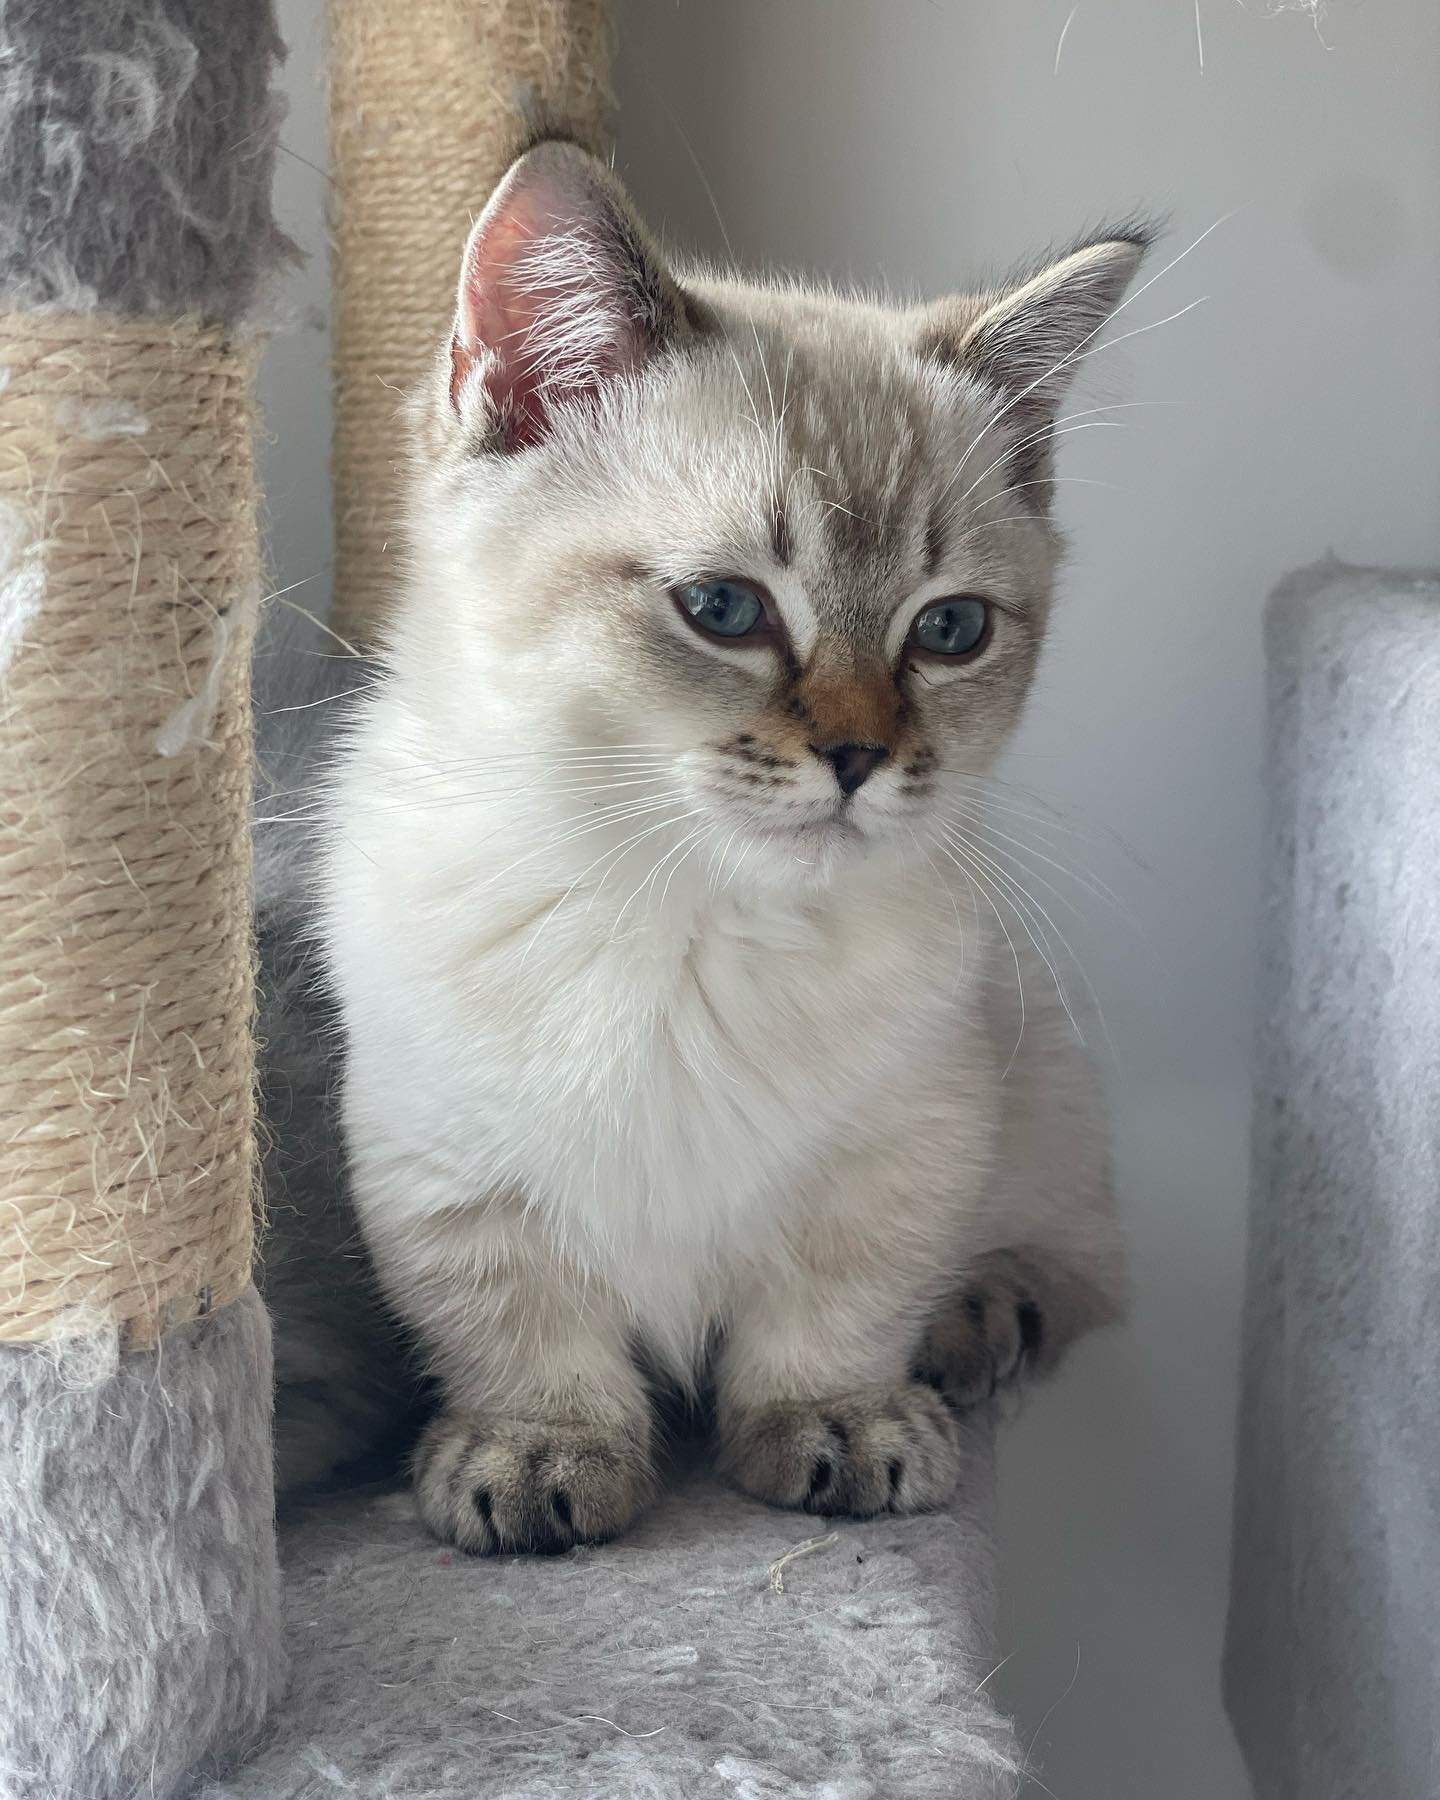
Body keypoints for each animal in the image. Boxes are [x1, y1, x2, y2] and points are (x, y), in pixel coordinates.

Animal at [311, 140, 1137, 1555]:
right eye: (723, 609)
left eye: (951, 630)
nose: (860, 759)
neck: (682, 913)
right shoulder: (451, 1163)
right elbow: (519, 1326)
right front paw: (540, 1456)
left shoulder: (903, 1144)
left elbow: (835, 1312)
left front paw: (839, 1429)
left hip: (1042, 1098)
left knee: (1064, 1268)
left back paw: (978, 1326)